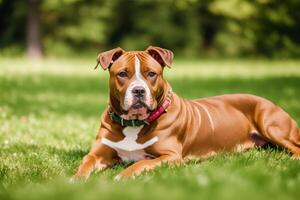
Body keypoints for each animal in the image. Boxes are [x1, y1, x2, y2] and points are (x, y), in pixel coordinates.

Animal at [72, 46, 300, 180]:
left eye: (151, 74)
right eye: (122, 74)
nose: (138, 91)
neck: (134, 123)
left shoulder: (170, 156)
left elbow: (142, 162)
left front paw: (124, 175)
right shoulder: (99, 153)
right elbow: (86, 162)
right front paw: (76, 179)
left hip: (271, 124)